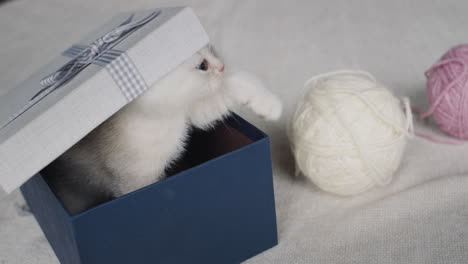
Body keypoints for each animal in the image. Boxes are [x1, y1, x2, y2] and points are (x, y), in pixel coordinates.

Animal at [45, 45, 282, 214]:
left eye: (209, 48)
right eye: (202, 66)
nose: (222, 65)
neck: (155, 120)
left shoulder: (191, 112)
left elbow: (232, 85)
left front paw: (267, 103)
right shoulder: (134, 181)